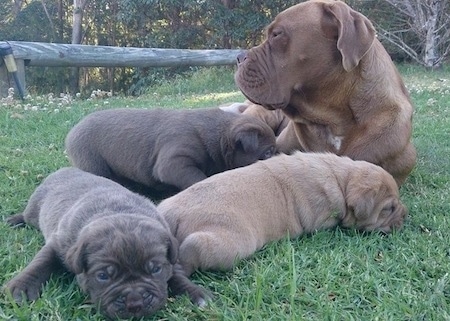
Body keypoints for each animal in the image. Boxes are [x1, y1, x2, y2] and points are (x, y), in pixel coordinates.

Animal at [4, 168, 208, 318]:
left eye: (156, 269)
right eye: (103, 276)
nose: (135, 302)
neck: (117, 212)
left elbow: (176, 274)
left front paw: (193, 293)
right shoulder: (58, 244)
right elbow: (40, 263)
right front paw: (22, 287)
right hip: (35, 207)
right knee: (28, 216)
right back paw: (15, 220)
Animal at [157, 152, 408, 276]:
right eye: (389, 208)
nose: (406, 215)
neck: (341, 179)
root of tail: (169, 215)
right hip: (229, 243)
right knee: (196, 246)